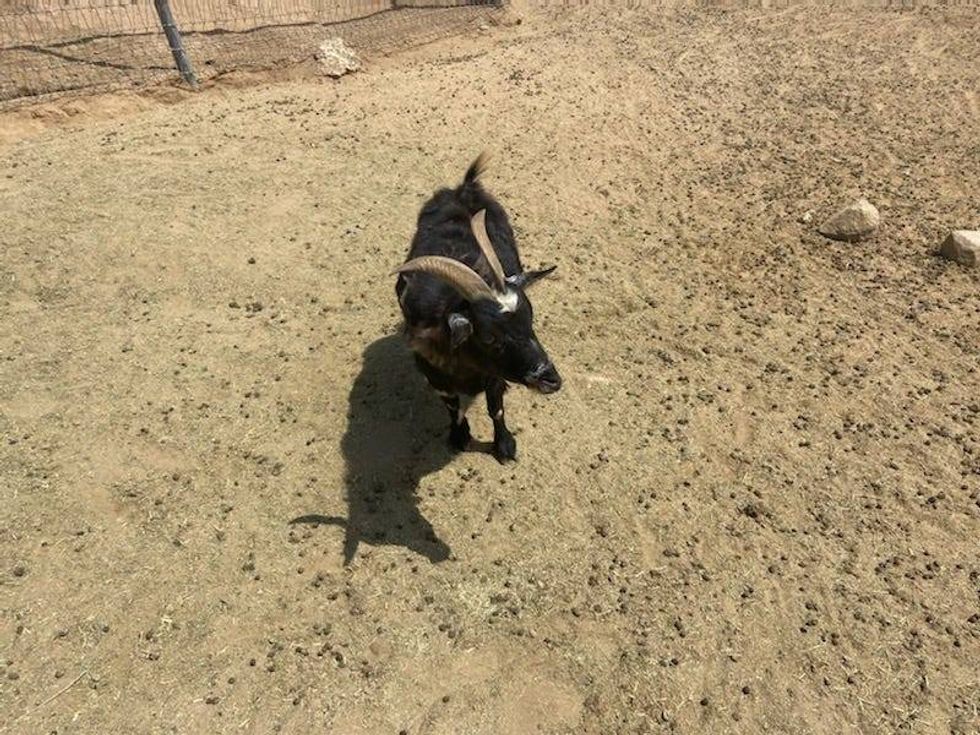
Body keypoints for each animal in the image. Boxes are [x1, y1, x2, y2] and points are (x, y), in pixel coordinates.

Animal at [394, 153, 561, 463]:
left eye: (530, 320)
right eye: (490, 337)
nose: (551, 379)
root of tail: (466, 188)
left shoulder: (493, 374)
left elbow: (496, 408)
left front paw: (505, 446)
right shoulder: (435, 374)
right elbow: (452, 407)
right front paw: (460, 436)